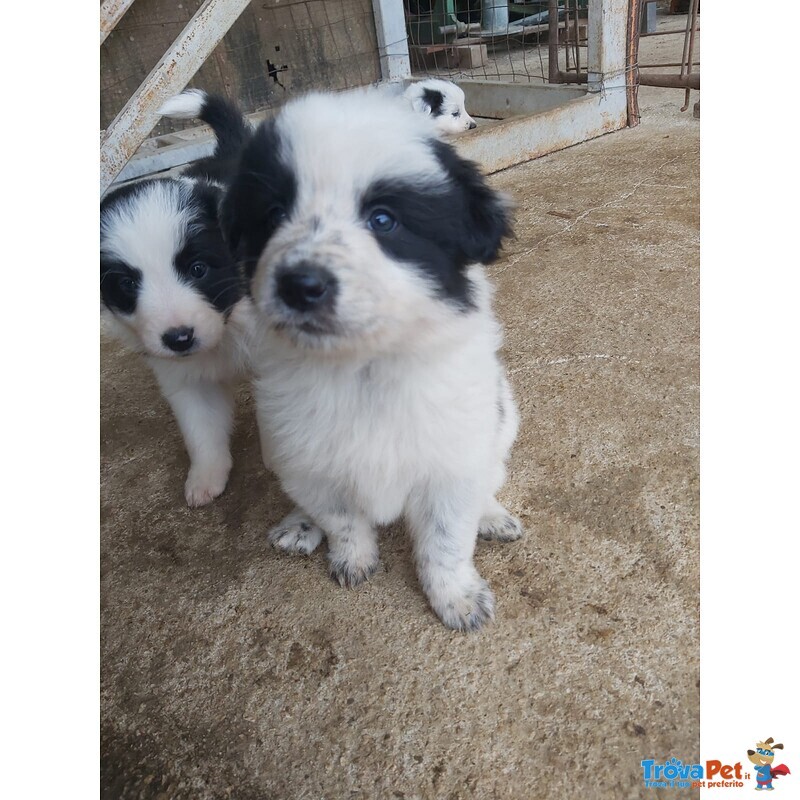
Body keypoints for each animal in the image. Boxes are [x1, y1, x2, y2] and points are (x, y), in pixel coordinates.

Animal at [100, 92, 255, 506]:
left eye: (198, 269)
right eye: (126, 284)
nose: (179, 338)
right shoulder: (183, 379)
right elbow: (201, 430)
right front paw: (205, 478)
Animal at [220, 89, 520, 632]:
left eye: (383, 220)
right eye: (272, 215)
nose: (299, 285)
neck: (363, 367)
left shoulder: (452, 460)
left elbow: (446, 539)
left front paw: (456, 597)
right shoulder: (308, 458)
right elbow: (341, 518)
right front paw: (352, 557)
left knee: (489, 477)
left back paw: (491, 514)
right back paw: (300, 524)